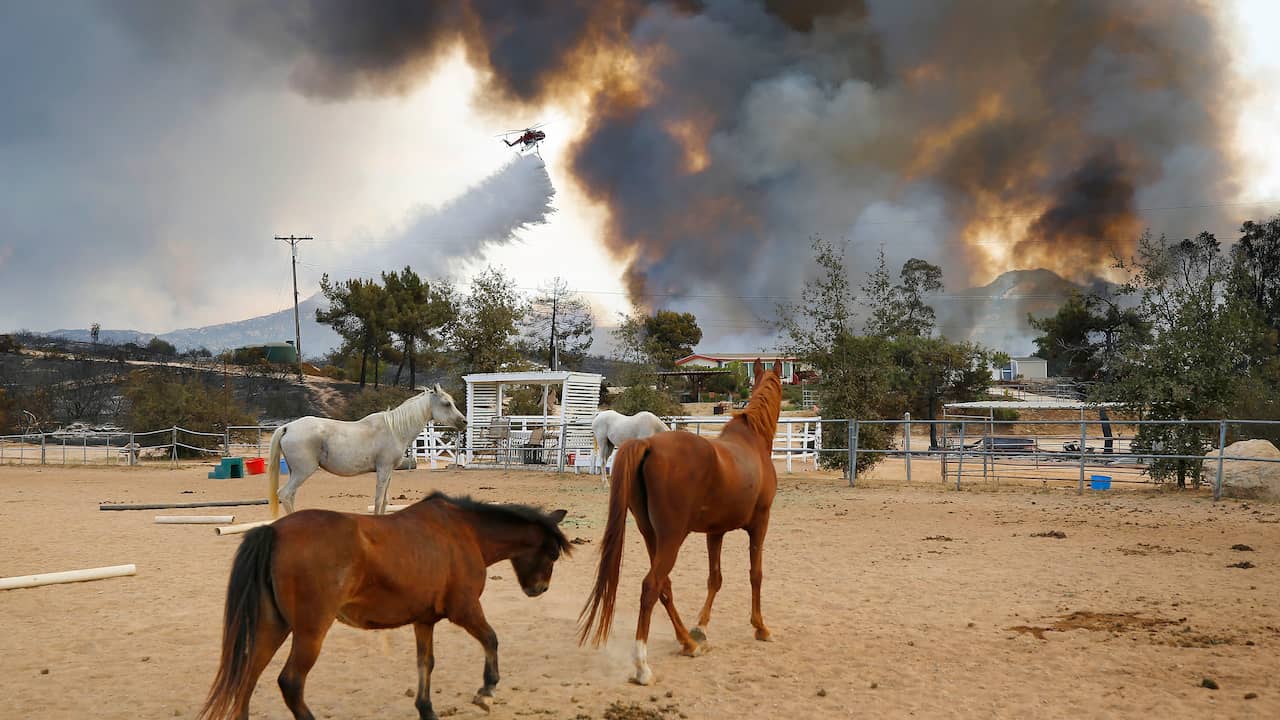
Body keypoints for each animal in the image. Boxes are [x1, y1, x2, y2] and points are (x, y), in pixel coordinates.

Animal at [198, 489, 570, 717]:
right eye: (552, 553)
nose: (540, 589)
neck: (463, 531)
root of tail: (274, 530)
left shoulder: (424, 620)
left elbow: (425, 664)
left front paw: (426, 709)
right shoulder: (464, 610)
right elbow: (491, 639)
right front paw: (487, 689)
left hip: (272, 626)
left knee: (247, 678)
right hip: (309, 632)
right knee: (290, 683)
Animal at [267, 384, 468, 512]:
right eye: (446, 403)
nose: (464, 422)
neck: (394, 429)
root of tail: (288, 427)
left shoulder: (389, 472)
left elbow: (385, 501)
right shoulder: (383, 470)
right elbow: (378, 501)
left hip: (295, 472)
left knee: (290, 496)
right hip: (303, 471)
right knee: (285, 494)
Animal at [578, 358, 778, 681]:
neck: (752, 443)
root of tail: (648, 444)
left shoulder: (715, 532)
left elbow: (715, 578)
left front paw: (701, 628)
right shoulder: (760, 524)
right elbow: (755, 575)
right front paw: (761, 627)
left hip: (653, 537)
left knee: (664, 586)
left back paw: (688, 642)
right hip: (672, 538)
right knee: (651, 586)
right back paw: (642, 665)